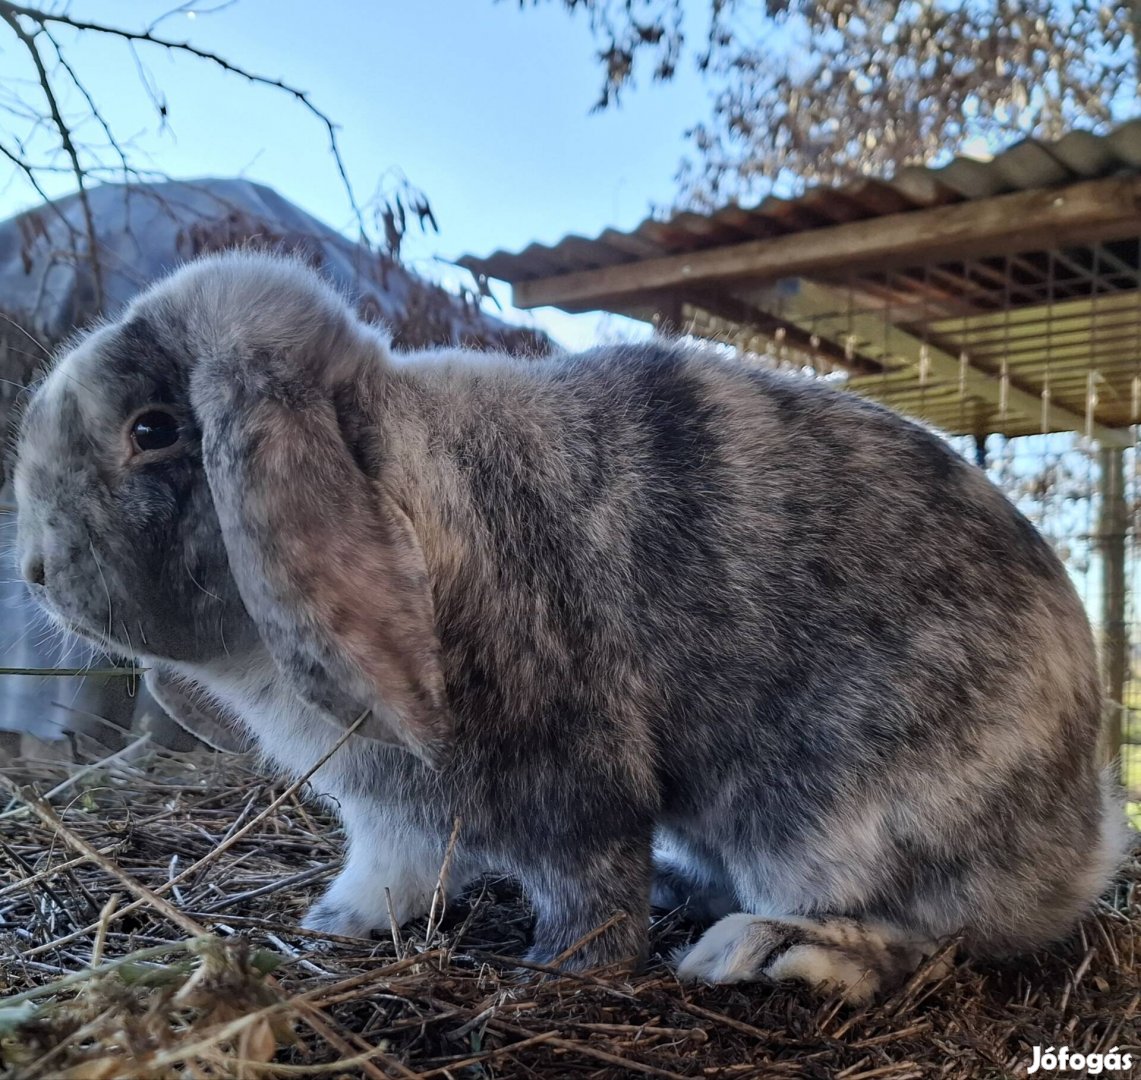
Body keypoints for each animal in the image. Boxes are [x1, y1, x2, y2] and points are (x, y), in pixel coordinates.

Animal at [13, 248, 1127, 999]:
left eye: (153, 431)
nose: (33, 571)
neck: (399, 485)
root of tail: (1088, 836)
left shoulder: (568, 780)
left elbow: (588, 887)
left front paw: (561, 973)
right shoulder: (391, 814)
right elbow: (388, 872)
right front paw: (332, 927)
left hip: (832, 817)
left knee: (919, 932)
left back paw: (761, 951)